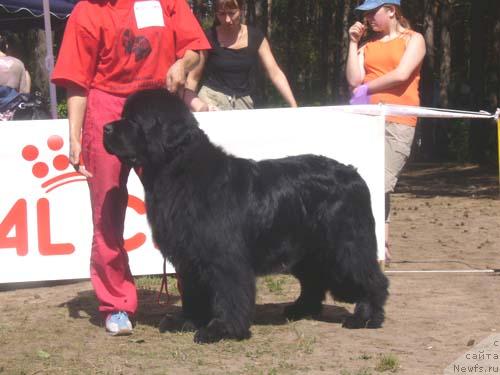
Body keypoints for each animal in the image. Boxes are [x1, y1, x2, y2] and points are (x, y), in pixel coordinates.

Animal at [103, 88, 388, 344]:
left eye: (134, 120)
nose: (105, 128)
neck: (178, 171)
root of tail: (353, 173)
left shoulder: (223, 255)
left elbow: (230, 294)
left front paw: (222, 329)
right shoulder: (190, 256)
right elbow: (194, 292)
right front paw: (187, 321)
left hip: (346, 245)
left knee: (371, 278)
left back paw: (365, 317)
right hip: (306, 249)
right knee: (314, 279)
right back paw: (300, 309)